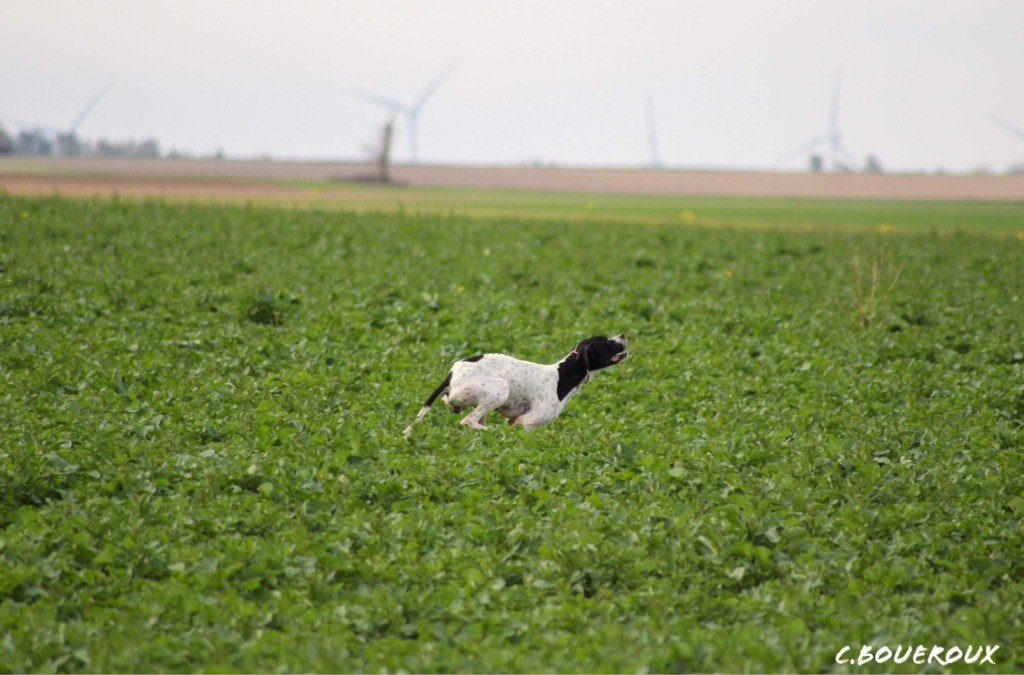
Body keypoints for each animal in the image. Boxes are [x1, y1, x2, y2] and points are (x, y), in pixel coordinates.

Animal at [403, 335, 626, 436]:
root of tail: (451, 374)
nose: (623, 335)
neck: (562, 377)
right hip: (500, 389)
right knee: (468, 421)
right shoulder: (525, 422)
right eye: (605, 342)